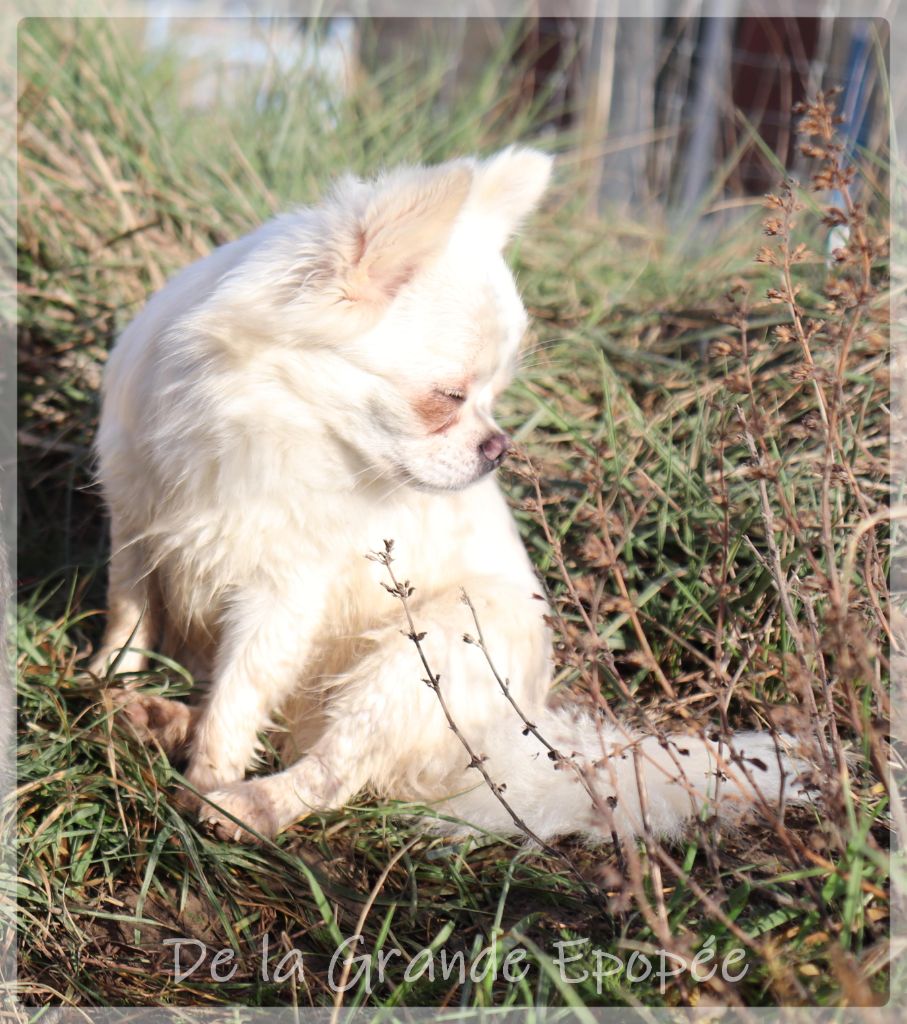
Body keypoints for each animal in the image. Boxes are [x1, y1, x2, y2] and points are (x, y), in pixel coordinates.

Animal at [92, 148, 806, 843]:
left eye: (492, 396)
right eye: (451, 397)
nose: (499, 447)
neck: (270, 420)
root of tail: (528, 737)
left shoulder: (283, 595)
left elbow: (240, 696)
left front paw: (206, 782)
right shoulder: (135, 526)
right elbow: (129, 615)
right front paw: (104, 677)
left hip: (425, 653)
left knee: (332, 767)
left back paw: (250, 806)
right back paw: (156, 716)